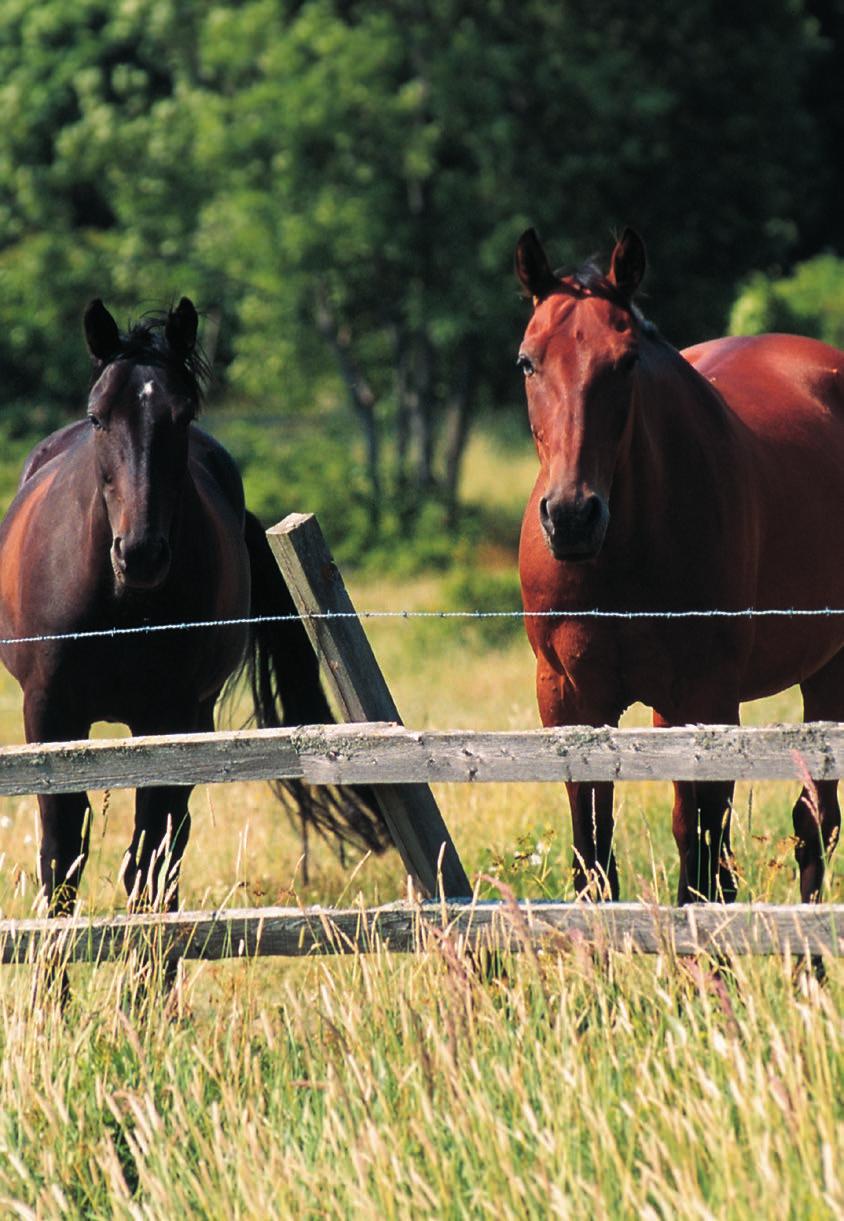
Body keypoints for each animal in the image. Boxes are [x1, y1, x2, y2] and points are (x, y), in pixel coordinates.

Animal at [0, 295, 385, 923]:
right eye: (98, 416)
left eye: (181, 416)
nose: (140, 553)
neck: (121, 606)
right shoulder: (49, 715)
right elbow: (62, 859)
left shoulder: (176, 720)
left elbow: (150, 860)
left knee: (161, 850)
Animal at [515, 227, 844, 908]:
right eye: (527, 362)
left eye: (626, 362)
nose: (572, 517)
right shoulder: (566, 697)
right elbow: (593, 849)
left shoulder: (710, 695)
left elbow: (705, 856)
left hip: (823, 669)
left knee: (814, 822)